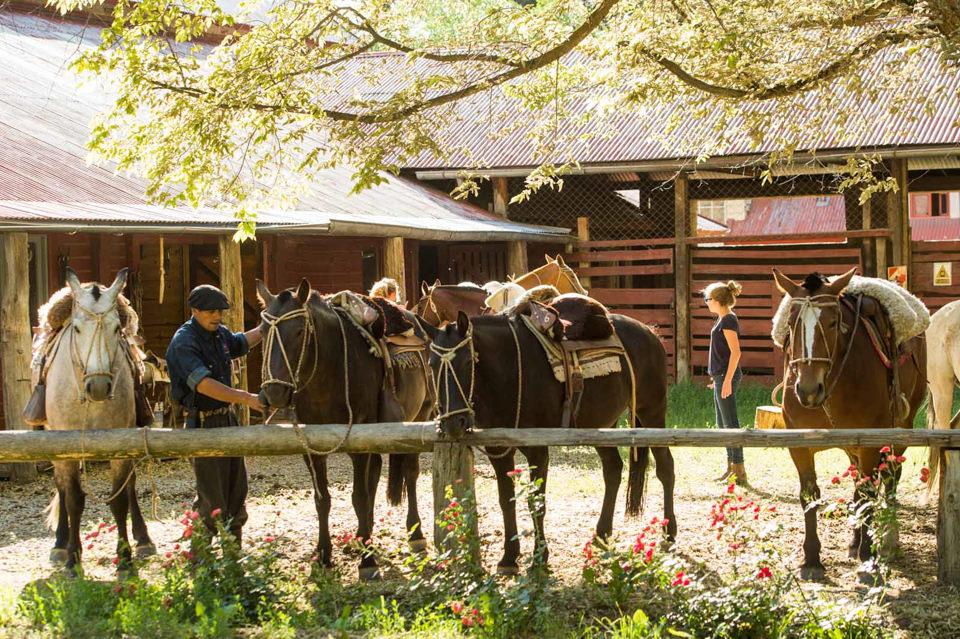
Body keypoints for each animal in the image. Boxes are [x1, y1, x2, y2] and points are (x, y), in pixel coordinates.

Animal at [258, 280, 432, 580]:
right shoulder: (311, 449)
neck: (328, 374)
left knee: (409, 472)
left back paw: (415, 534)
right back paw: (366, 536)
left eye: (300, 331)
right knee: (374, 476)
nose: (274, 392)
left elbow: (359, 497)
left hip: (419, 417)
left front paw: (367, 562)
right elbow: (323, 499)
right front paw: (324, 555)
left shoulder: (358, 443)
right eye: (262, 331)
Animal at [420, 310, 676, 576]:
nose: (454, 422)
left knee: (665, 467)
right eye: (432, 365)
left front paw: (539, 558)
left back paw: (669, 533)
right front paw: (509, 558)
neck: (508, 372)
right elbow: (506, 500)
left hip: (652, 412)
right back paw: (602, 533)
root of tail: (650, 333)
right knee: (613, 469)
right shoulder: (498, 450)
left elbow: (536, 502)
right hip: (602, 425)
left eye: (468, 362)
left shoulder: (538, 451)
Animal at [772, 268, 928, 584]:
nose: (808, 389)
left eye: (833, 323)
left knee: (889, 477)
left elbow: (868, 494)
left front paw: (868, 560)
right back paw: (856, 541)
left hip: (899, 429)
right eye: (792, 324)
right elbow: (810, 495)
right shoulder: (799, 445)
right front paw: (812, 559)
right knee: (859, 481)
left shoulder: (869, 441)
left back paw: (887, 540)